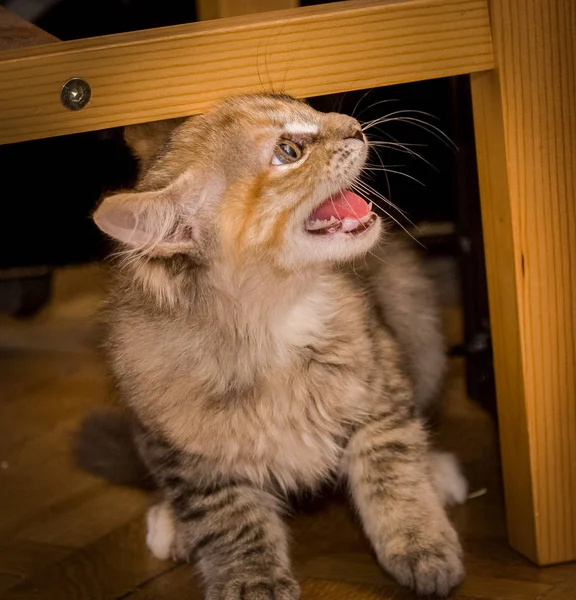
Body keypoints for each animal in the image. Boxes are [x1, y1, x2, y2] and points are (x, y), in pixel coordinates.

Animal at [82, 91, 468, 596]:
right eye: (288, 152)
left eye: (307, 106)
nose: (355, 128)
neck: (271, 324)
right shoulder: (187, 452)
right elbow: (232, 521)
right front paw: (252, 580)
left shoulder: (381, 384)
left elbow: (394, 472)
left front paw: (422, 543)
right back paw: (170, 521)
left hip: (415, 318)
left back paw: (438, 472)